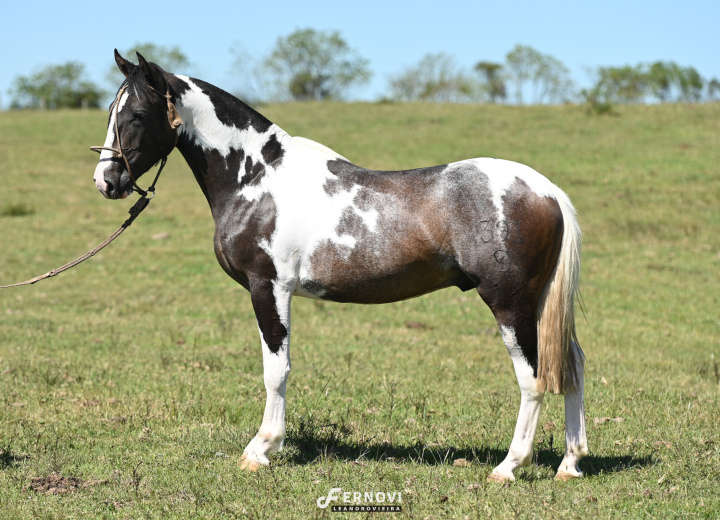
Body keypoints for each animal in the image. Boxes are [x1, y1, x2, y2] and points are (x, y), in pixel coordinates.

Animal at [91, 50, 584, 482]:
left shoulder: (269, 287)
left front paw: (261, 449)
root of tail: (547, 190)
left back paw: (508, 467)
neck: (257, 176)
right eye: (113, 110)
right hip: (539, 304)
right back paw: (569, 464)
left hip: (510, 304)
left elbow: (276, 370)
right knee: (572, 365)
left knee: (533, 378)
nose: (106, 181)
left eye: (137, 114)